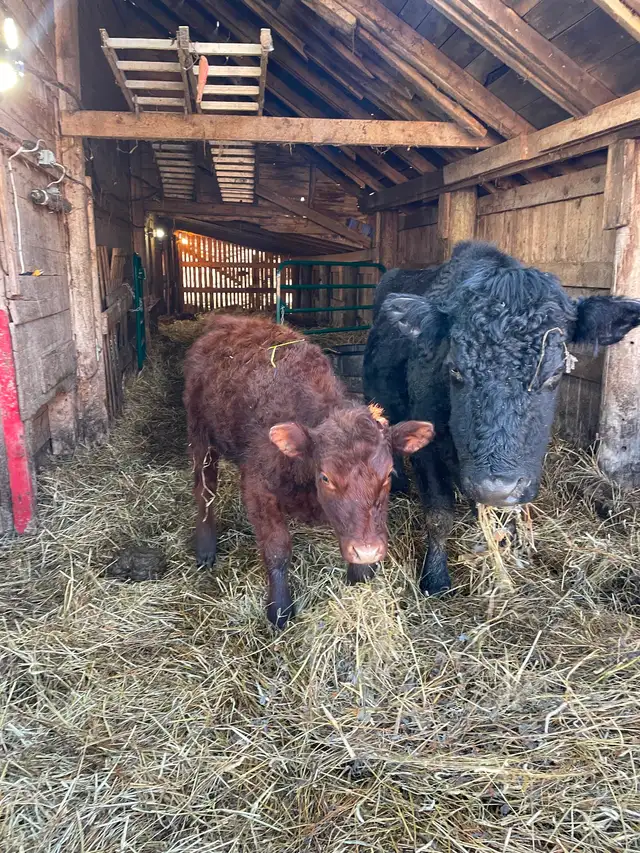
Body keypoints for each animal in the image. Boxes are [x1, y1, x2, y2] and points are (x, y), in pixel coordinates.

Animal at [183, 314, 434, 628]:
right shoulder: (258, 489)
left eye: (389, 474)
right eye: (326, 477)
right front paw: (279, 610)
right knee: (204, 489)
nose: (367, 550)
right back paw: (206, 548)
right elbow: (277, 550)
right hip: (200, 435)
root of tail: (231, 319)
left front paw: (360, 577)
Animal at [364, 240, 640, 597]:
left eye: (554, 374)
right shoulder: (427, 447)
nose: (495, 487)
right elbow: (439, 515)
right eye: (455, 368)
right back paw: (396, 482)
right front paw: (435, 579)